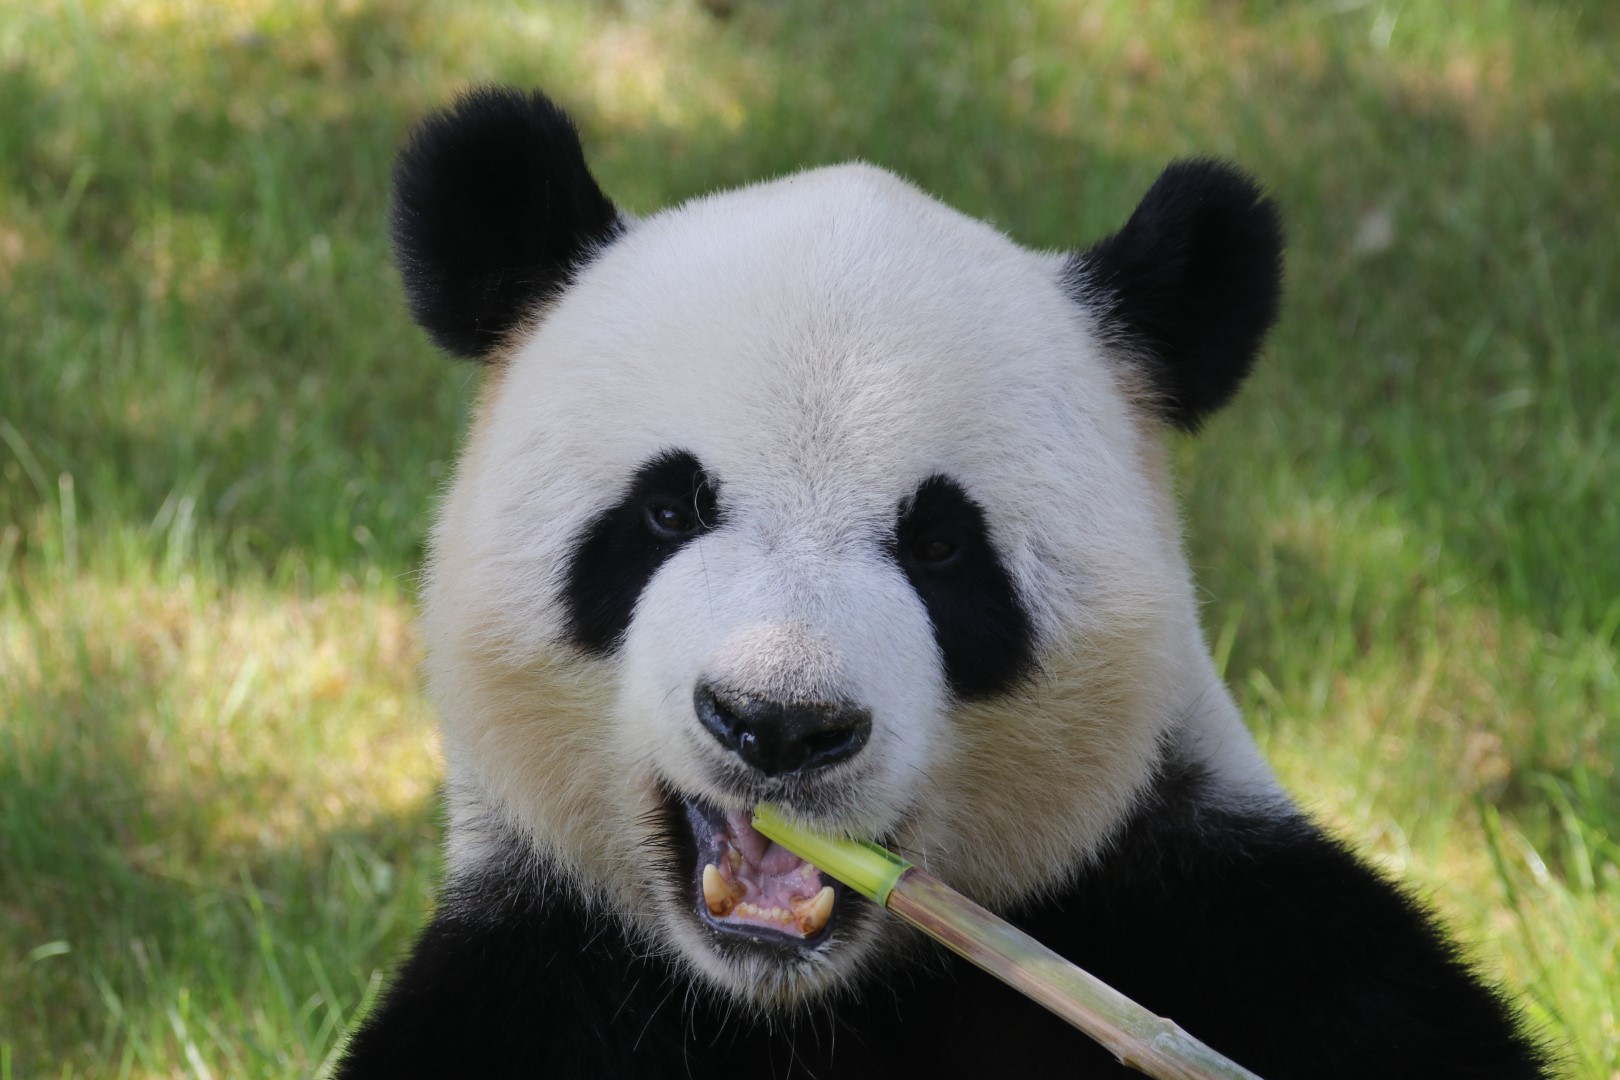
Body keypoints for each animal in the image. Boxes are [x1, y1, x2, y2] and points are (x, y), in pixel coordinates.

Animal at [338, 87, 1550, 1078]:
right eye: (667, 511)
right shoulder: (539, 976)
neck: (802, 1004)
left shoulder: (1216, 918)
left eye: (941, 547)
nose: (780, 724)